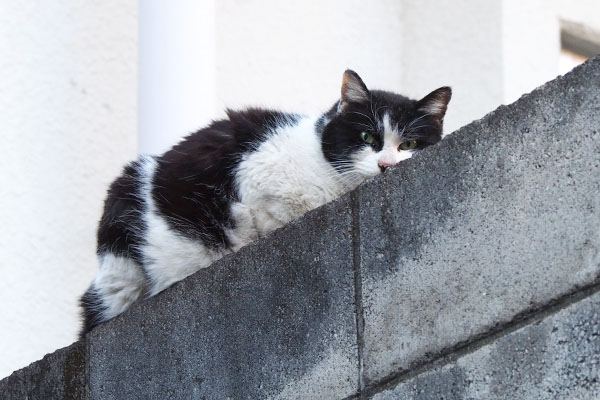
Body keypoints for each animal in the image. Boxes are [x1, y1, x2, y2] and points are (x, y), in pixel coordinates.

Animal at [81, 70, 450, 336]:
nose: (387, 165)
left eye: (410, 144)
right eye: (367, 137)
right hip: (121, 266)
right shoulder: (254, 171)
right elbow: (264, 214)